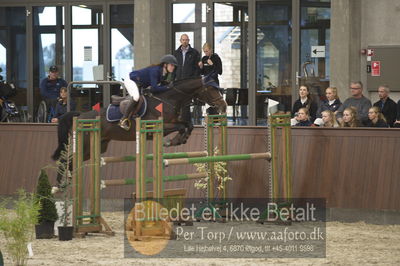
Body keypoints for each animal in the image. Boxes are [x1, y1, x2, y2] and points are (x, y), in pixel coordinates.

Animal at [52, 77, 227, 162]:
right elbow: (182, 126)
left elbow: (188, 125)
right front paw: (173, 141)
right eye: (211, 89)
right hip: (86, 144)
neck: (169, 99)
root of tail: (79, 115)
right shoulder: (160, 126)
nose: (224, 106)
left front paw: (179, 140)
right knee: (66, 162)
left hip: (97, 146)